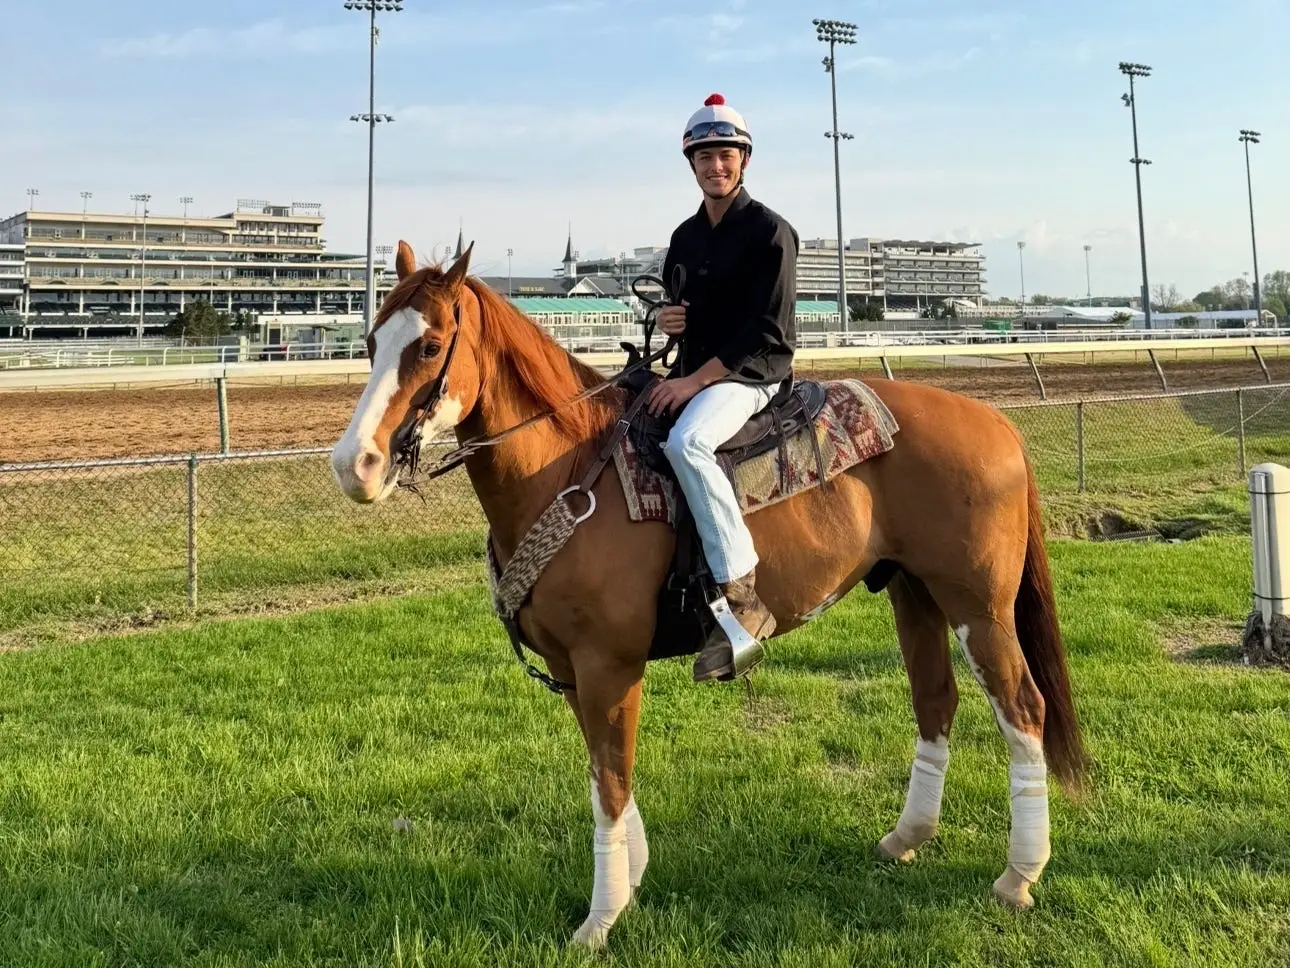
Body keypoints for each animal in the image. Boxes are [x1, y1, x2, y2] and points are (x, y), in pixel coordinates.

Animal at [330, 240, 1087, 949]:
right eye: (369, 343)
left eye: (429, 346)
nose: (353, 465)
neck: (570, 471)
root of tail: (997, 424)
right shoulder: (575, 672)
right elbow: (605, 774)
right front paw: (631, 880)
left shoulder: (607, 666)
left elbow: (610, 783)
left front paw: (601, 918)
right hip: (916, 594)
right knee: (935, 701)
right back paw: (908, 838)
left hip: (978, 609)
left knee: (1023, 710)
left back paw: (1019, 874)